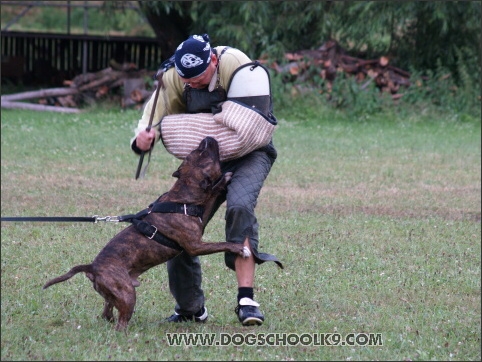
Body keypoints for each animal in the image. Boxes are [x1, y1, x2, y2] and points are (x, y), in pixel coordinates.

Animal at [43, 137, 250, 332]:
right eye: (204, 155)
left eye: (197, 153)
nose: (207, 139)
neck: (182, 196)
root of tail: (92, 267)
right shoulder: (195, 246)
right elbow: (222, 243)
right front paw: (241, 248)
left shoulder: (202, 214)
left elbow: (212, 195)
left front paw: (223, 181)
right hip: (127, 294)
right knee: (121, 323)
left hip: (114, 294)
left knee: (107, 312)